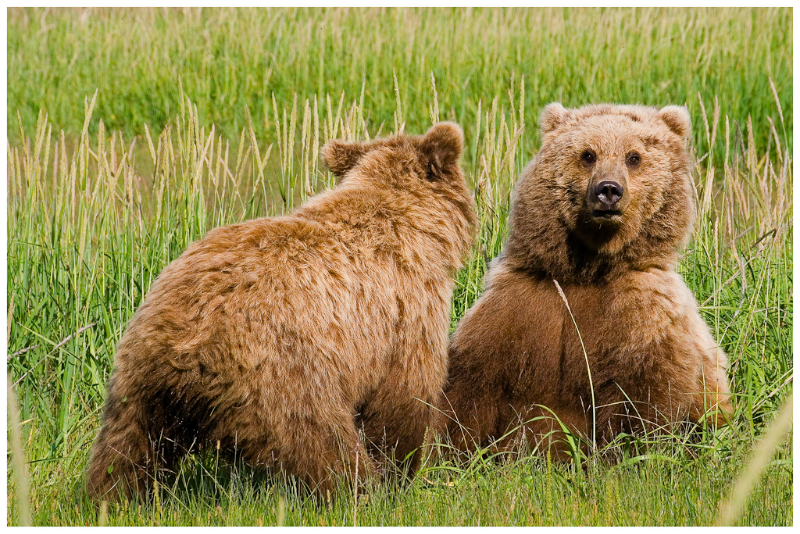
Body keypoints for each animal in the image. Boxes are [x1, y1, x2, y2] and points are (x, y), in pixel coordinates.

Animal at [86, 122, 477, 501]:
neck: (413, 222)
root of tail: (185, 345)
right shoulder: (406, 309)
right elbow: (405, 398)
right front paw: (398, 475)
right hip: (282, 372)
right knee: (320, 439)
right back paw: (358, 490)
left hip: (138, 379)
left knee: (128, 449)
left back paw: (112, 498)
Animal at [438, 103, 732, 458]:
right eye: (588, 154)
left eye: (634, 156)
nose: (608, 190)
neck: (588, 268)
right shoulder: (521, 306)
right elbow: (470, 386)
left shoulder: (644, 316)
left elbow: (649, 397)